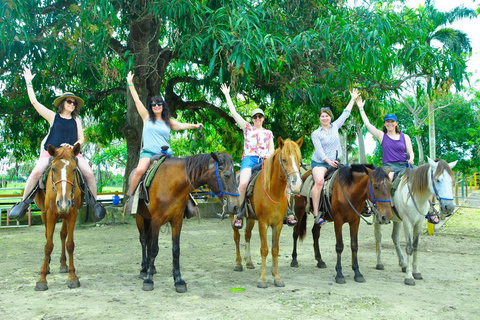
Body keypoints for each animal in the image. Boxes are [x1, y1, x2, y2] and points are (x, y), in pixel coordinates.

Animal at [34, 144, 82, 290]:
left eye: (74, 169)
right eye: (54, 169)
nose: (63, 202)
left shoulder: (72, 214)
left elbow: (70, 244)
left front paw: (72, 277)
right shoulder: (50, 214)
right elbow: (48, 245)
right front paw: (42, 279)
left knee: (62, 234)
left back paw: (63, 264)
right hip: (44, 214)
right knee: (47, 235)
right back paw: (48, 265)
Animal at [135, 152, 240, 292]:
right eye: (227, 175)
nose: (235, 206)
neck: (172, 184)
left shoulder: (177, 220)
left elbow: (176, 250)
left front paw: (178, 280)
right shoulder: (156, 220)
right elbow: (153, 249)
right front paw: (148, 280)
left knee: (147, 240)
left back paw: (150, 268)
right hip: (140, 218)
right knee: (143, 240)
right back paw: (144, 269)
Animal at [232, 137, 304, 288]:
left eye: (299, 160)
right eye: (284, 159)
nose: (296, 184)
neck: (273, 192)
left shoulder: (278, 224)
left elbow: (275, 249)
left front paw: (277, 277)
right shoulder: (263, 223)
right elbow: (264, 249)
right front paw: (263, 279)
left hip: (251, 218)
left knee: (247, 235)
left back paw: (249, 262)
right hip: (233, 216)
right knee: (237, 237)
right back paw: (239, 263)